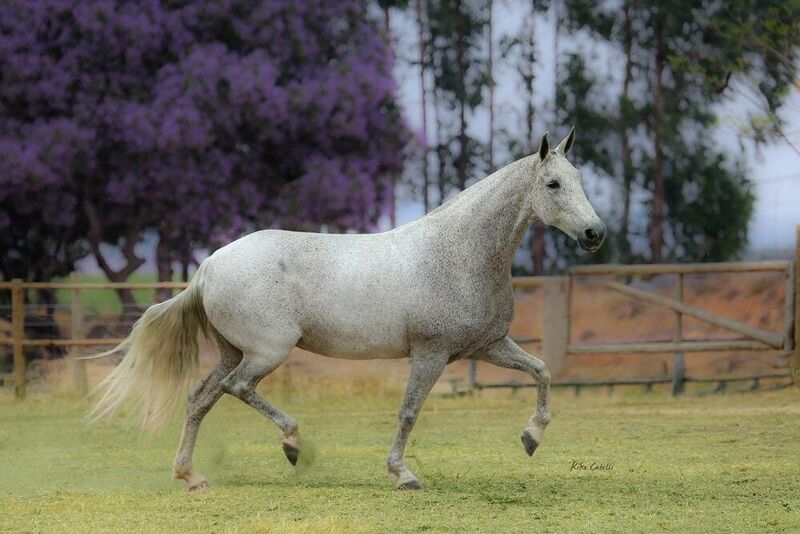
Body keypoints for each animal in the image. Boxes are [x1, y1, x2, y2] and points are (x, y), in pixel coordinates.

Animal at [92, 127, 608, 492]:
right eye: (554, 183)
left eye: (581, 181)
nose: (594, 234)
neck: (460, 252)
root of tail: (208, 266)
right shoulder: (432, 354)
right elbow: (408, 412)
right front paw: (403, 475)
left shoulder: (488, 347)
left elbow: (541, 371)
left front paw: (531, 438)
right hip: (266, 352)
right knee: (237, 389)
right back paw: (293, 445)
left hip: (231, 352)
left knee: (200, 398)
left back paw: (192, 477)